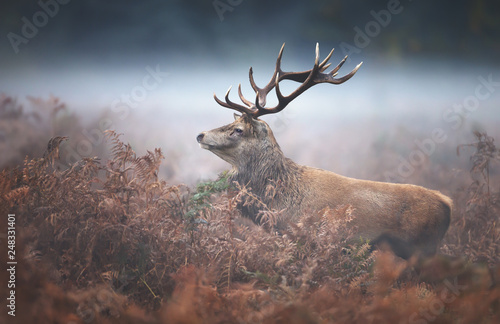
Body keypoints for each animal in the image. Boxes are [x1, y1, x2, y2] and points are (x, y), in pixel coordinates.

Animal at [197, 43, 452, 260]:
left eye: (238, 130)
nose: (200, 135)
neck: (279, 203)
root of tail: (447, 203)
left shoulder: (306, 239)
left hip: (422, 247)